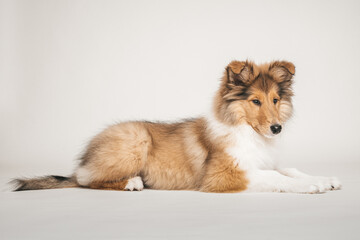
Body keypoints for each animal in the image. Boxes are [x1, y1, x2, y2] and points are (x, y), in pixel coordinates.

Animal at [13, 61, 340, 193]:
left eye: (275, 99)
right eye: (255, 101)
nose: (276, 129)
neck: (245, 129)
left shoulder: (260, 161)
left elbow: (288, 169)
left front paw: (326, 179)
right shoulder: (221, 175)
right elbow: (275, 176)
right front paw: (312, 186)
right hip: (135, 140)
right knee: (83, 178)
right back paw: (132, 182)